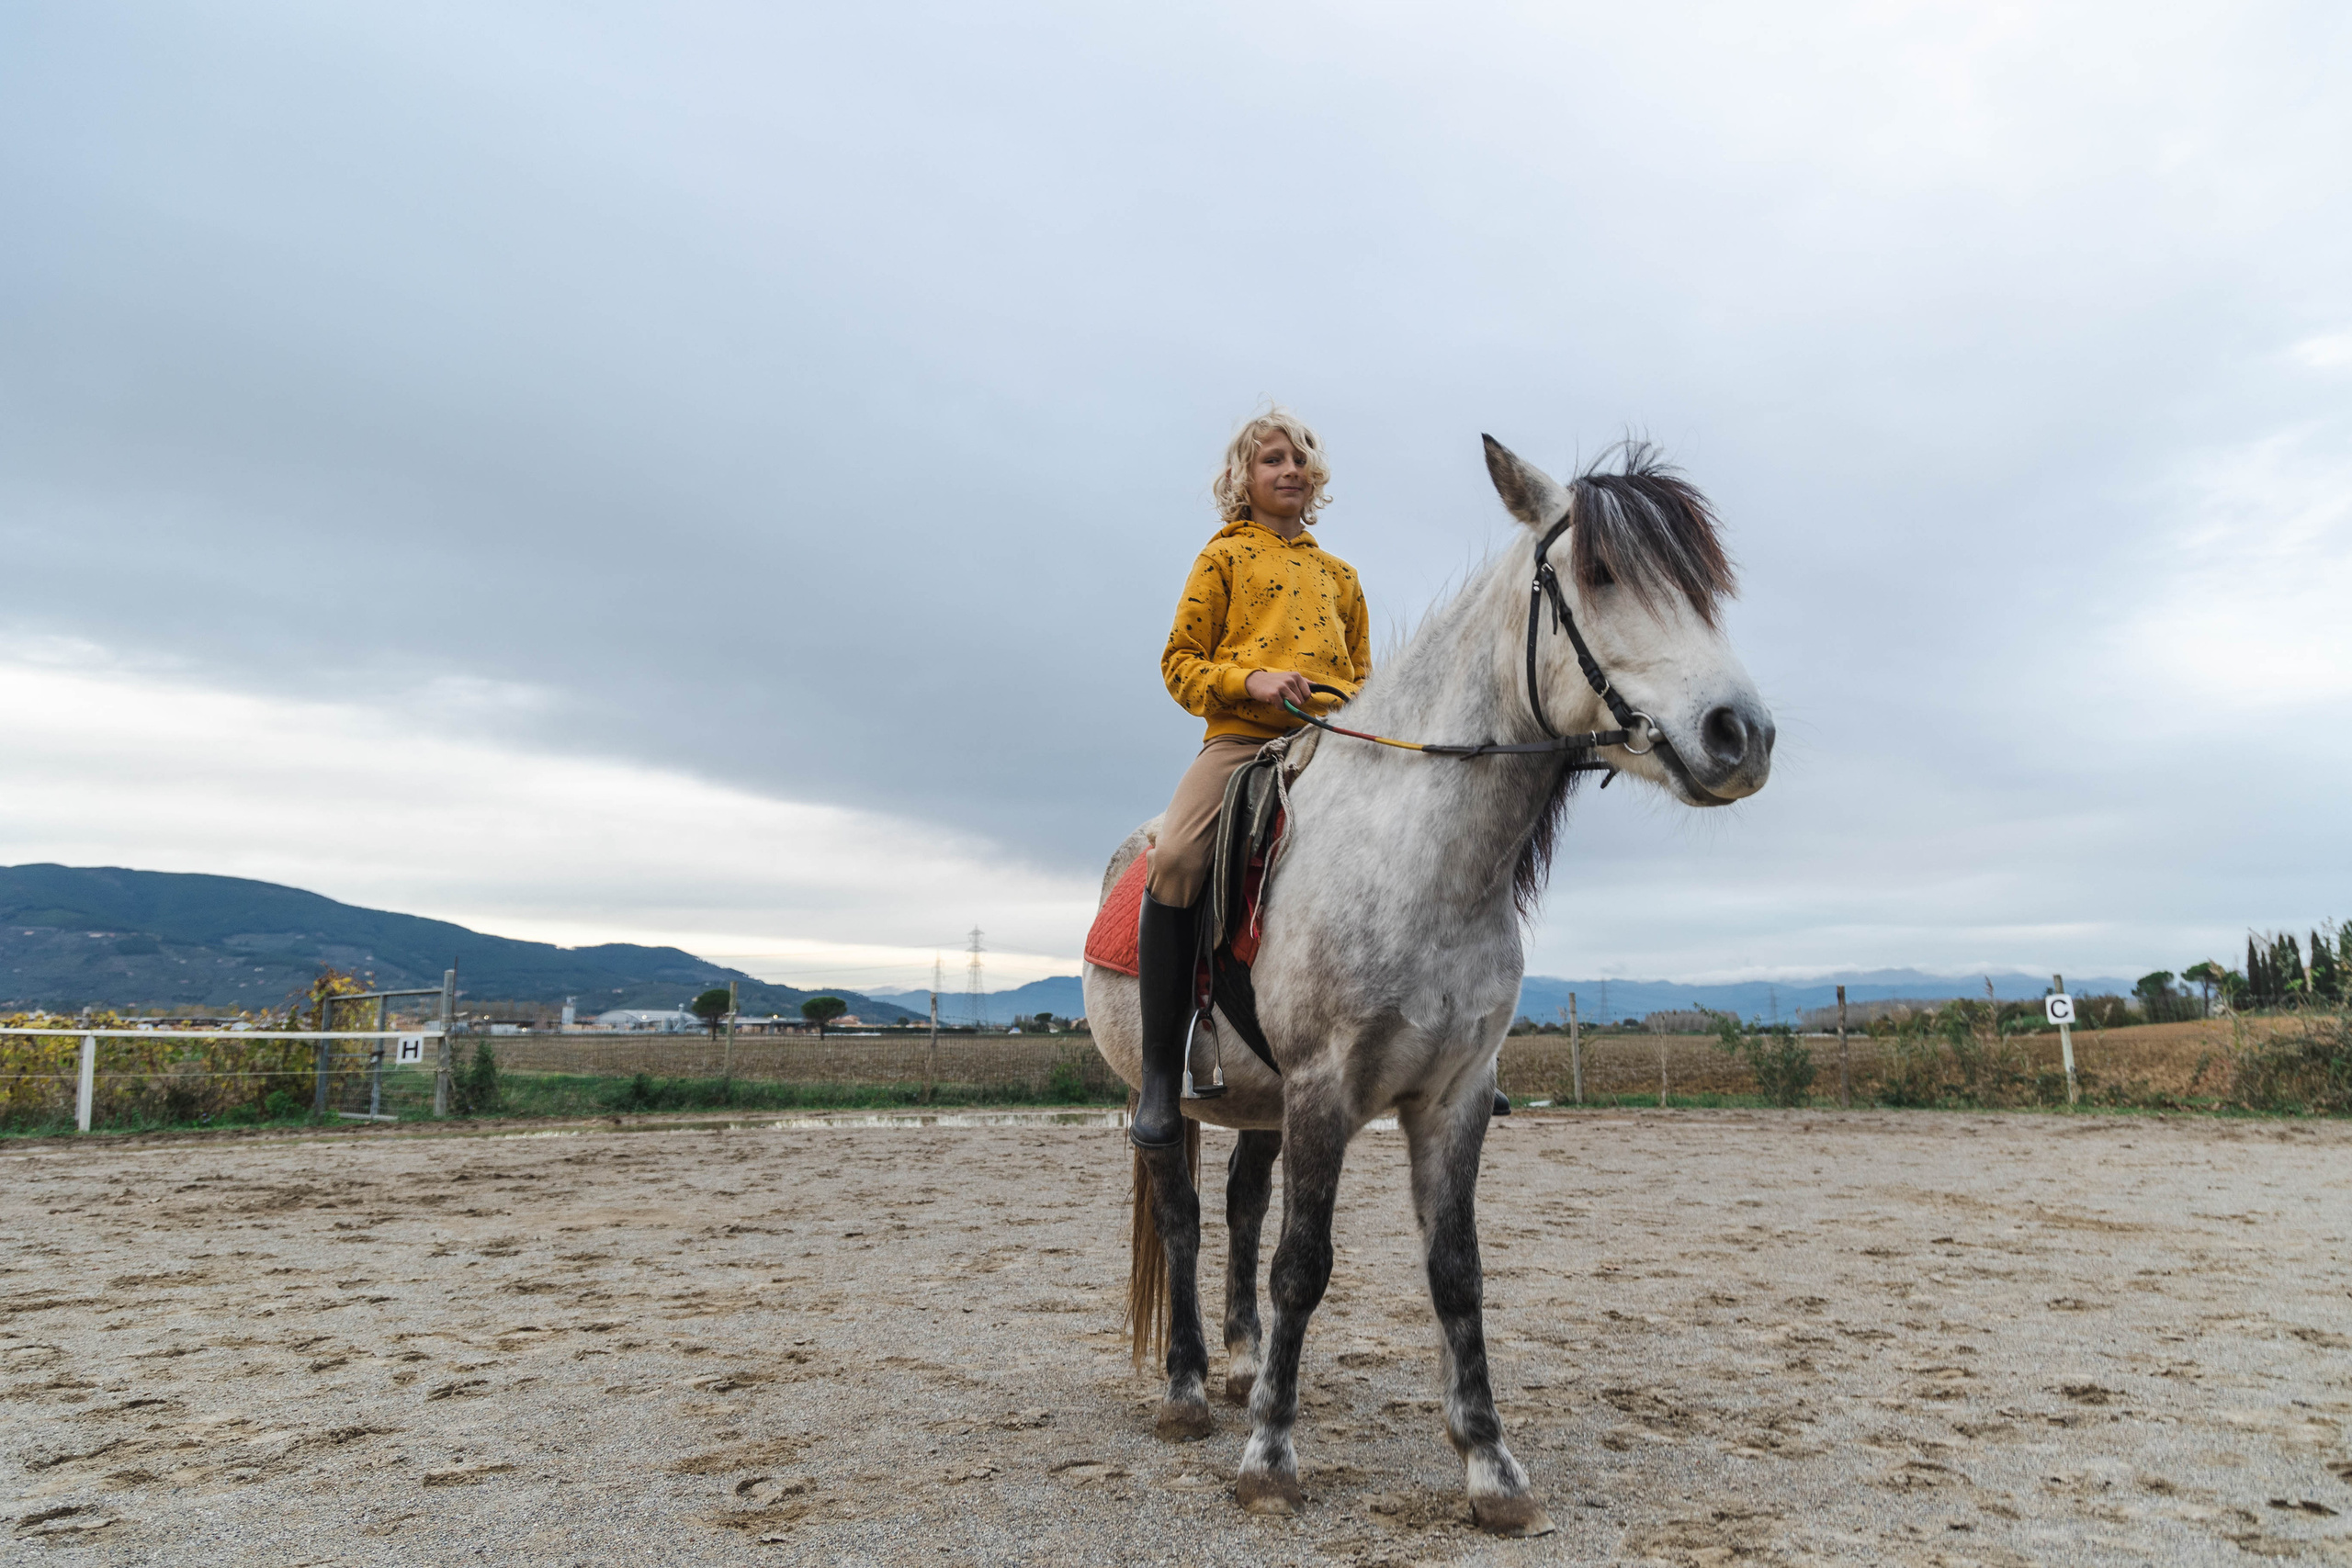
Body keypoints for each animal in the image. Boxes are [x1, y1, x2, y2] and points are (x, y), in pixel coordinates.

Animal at [1084, 435, 1774, 1534]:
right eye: (1600, 573)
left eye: (1705, 585)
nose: (1739, 735)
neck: (1421, 859)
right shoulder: (1326, 1089)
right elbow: (1304, 1263)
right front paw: (1270, 1457)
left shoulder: (1453, 1098)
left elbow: (1455, 1270)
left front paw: (1490, 1464)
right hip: (1171, 1096)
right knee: (1183, 1210)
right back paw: (1190, 1389)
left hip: (1259, 1100)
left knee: (1237, 1203)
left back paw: (1239, 1366)